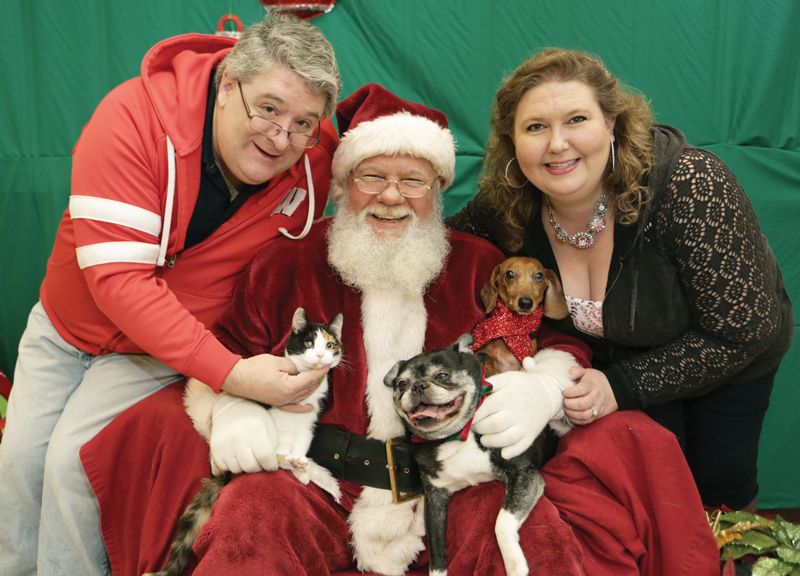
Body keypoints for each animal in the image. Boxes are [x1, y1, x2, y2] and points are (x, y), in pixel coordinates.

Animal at [148, 308, 342, 576]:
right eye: (309, 343)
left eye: (330, 344)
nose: (321, 355)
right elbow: (278, 453)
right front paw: (297, 467)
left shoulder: (308, 422)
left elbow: (301, 444)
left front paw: (302, 468)